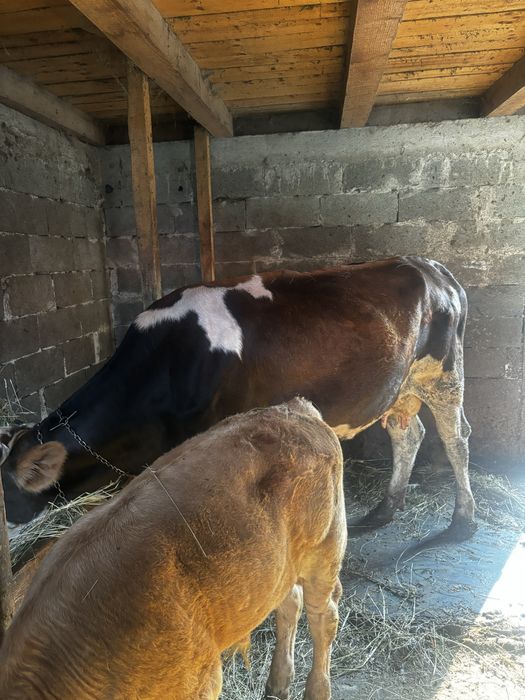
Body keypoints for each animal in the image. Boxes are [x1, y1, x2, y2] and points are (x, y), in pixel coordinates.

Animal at [0, 256, 475, 542]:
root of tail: (430, 265)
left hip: (444, 374)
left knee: (456, 440)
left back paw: (463, 522)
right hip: (399, 385)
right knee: (408, 434)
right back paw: (384, 510)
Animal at [0, 399, 347, 700]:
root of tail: (294, 408)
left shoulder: (200, 682)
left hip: (325, 548)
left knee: (324, 616)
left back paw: (317, 690)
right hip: (281, 563)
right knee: (289, 601)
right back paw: (278, 684)